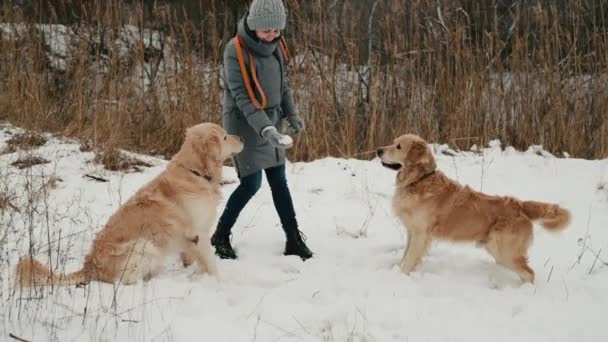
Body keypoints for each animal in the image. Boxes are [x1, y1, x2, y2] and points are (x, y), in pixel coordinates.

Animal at [14, 121, 242, 288]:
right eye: (224, 136)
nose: (242, 137)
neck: (195, 172)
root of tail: (90, 267)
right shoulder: (199, 233)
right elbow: (210, 262)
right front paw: (219, 285)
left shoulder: (189, 239)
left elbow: (193, 259)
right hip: (145, 246)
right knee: (123, 281)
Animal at [378, 134, 572, 284]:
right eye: (393, 142)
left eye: (398, 146)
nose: (378, 150)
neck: (419, 180)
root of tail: (520, 205)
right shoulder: (412, 232)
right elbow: (405, 255)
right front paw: (397, 270)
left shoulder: (421, 234)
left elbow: (409, 259)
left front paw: (400, 276)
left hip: (503, 249)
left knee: (529, 274)